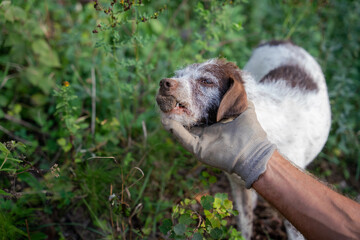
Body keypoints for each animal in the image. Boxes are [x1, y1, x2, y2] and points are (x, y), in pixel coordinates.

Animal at [157, 40, 332, 239]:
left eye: (206, 81)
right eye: (179, 75)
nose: (164, 83)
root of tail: (282, 41)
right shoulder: (238, 186)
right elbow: (244, 223)